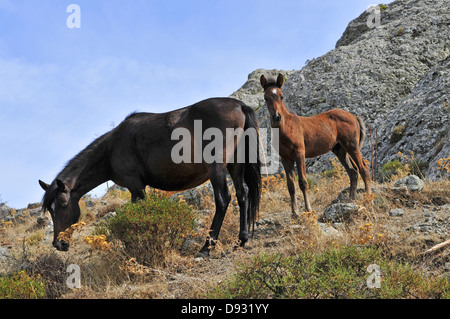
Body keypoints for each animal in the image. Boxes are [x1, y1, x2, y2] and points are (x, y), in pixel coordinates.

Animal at [40, 99, 264, 258]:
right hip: (236, 164)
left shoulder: (135, 185)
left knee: (223, 199)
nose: (58, 243)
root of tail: (239, 105)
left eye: (63, 204)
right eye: (50, 210)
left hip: (217, 167)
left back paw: (205, 248)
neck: (111, 148)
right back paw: (241, 240)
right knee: (242, 194)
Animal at [260, 73, 370, 218]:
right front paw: (294, 213)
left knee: (363, 168)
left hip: (352, 147)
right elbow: (291, 186)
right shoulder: (285, 159)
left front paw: (308, 209)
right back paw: (351, 200)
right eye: (265, 98)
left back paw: (368, 198)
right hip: (340, 150)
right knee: (353, 172)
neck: (287, 128)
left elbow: (303, 182)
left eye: (281, 96)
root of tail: (353, 117)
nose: (277, 117)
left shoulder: (299, 154)